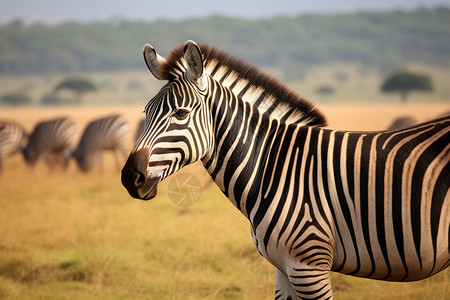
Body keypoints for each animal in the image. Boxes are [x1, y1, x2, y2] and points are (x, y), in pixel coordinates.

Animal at [120, 40, 450, 300]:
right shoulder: (284, 266)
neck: (274, 168)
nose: (129, 177)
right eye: (145, 112)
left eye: (181, 113)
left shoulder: (309, 266)